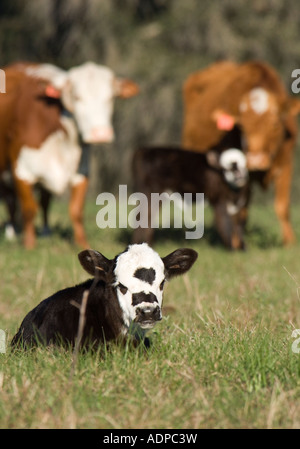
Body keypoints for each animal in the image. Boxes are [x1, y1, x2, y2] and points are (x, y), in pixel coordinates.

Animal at [0, 61, 138, 248]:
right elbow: (28, 209)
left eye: (110, 97)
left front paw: (82, 243)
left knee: (44, 201)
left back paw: (46, 232)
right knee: (11, 201)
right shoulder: (21, 171)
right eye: (77, 97)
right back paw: (11, 233)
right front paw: (29, 245)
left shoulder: (82, 171)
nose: (100, 134)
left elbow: (76, 210)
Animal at [182, 60, 300, 245]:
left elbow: (282, 206)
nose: (256, 160)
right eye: (242, 127)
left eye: (274, 124)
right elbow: (240, 210)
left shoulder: (286, 161)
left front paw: (289, 242)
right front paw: (236, 241)